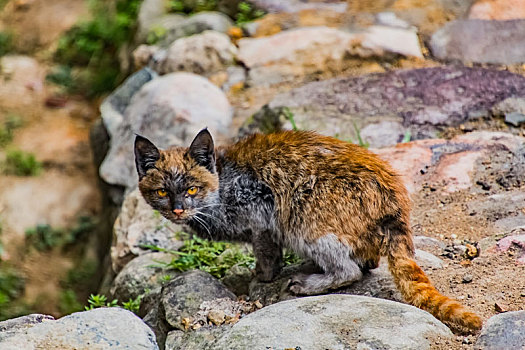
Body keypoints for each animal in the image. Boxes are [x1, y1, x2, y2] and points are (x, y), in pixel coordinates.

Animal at [133, 129, 482, 334]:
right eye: (162, 192)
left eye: (192, 189)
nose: (178, 209)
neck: (223, 186)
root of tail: (394, 197)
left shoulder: (262, 213)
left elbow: (266, 254)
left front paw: (261, 278)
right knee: (366, 262)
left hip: (303, 223)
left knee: (349, 270)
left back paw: (308, 282)